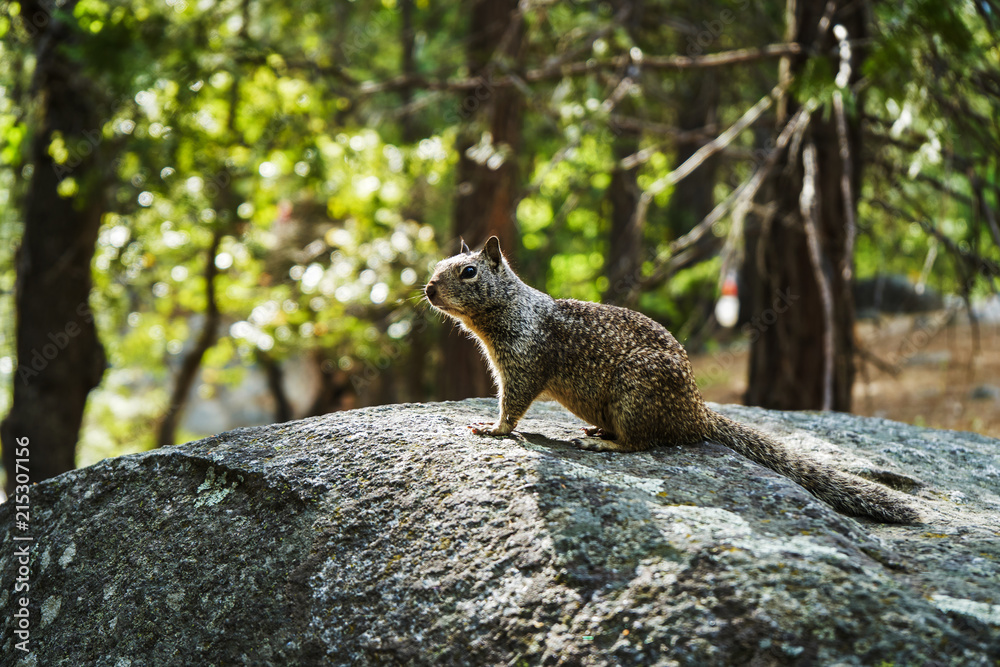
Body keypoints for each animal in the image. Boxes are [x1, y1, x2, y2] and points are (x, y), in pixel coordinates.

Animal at [425, 236, 920, 524]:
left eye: (468, 271)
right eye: (440, 263)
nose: (428, 288)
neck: (510, 307)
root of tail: (699, 414)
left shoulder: (523, 363)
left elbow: (513, 403)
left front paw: (494, 428)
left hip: (635, 395)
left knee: (643, 443)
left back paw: (603, 443)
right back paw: (597, 430)